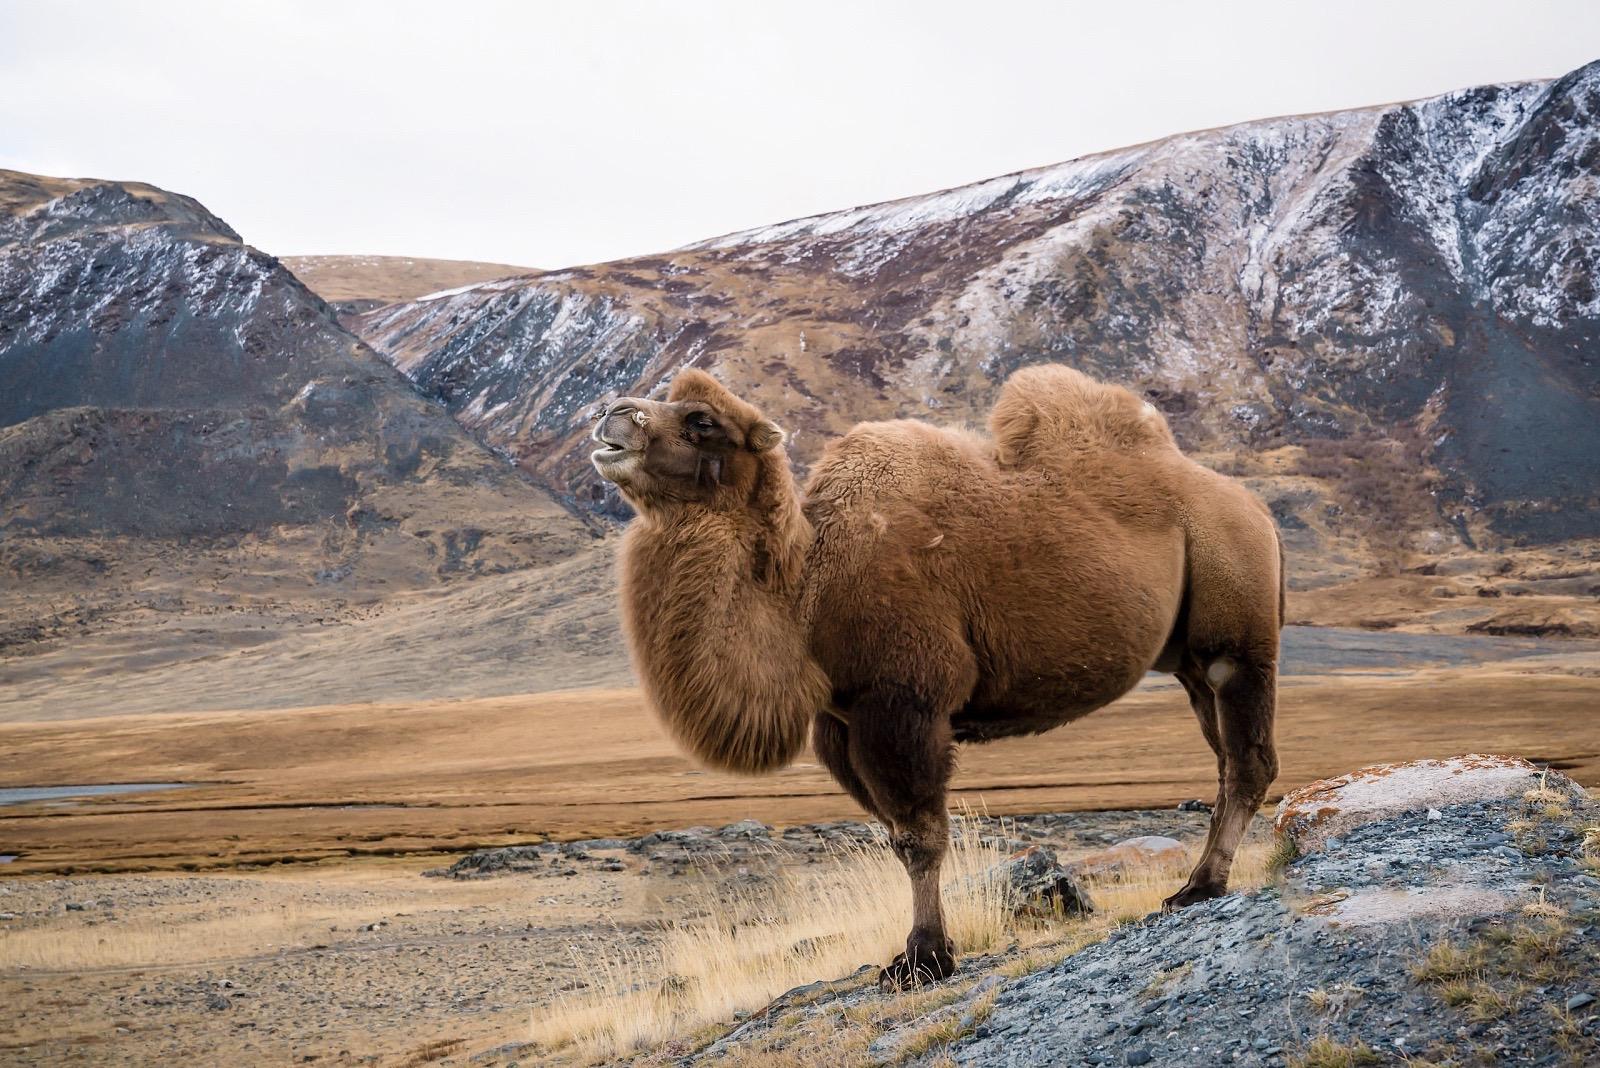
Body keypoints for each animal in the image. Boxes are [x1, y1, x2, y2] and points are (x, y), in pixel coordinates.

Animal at [595, 362, 1280, 991]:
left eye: (701, 420)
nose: (611, 414)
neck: (808, 586)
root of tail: (1256, 508)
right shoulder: (839, 726)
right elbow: (898, 836)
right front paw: (923, 952)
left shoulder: (903, 702)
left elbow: (921, 837)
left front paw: (924, 959)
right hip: (1189, 660)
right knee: (1226, 759)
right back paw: (1197, 884)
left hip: (1238, 632)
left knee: (1249, 759)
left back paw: (1199, 888)